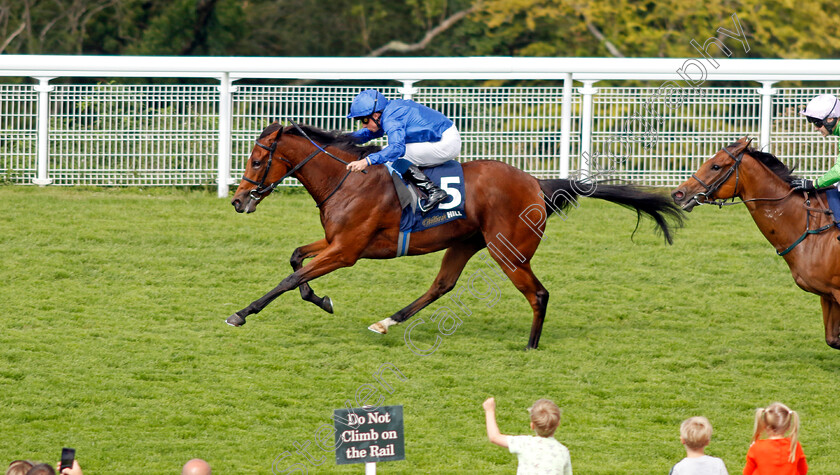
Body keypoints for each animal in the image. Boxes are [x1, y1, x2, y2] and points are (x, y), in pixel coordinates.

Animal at [228, 122, 684, 350]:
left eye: (256, 160)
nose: (238, 201)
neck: (348, 179)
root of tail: (536, 184)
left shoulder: (347, 251)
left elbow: (290, 277)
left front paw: (242, 313)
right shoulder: (337, 243)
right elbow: (296, 260)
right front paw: (320, 299)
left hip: (508, 251)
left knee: (538, 294)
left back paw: (531, 346)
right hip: (465, 243)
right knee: (441, 285)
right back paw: (386, 322)